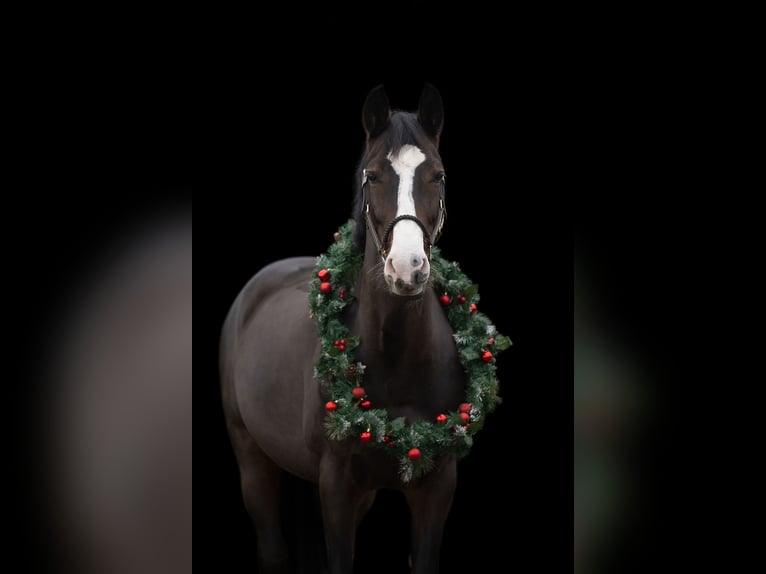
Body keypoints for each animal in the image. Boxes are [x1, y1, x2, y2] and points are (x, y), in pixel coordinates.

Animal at [222, 83, 468, 572]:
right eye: (372, 176)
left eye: (439, 176)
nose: (407, 269)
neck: (399, 362)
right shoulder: (336, 487)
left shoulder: (436, 488)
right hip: (252, 459)